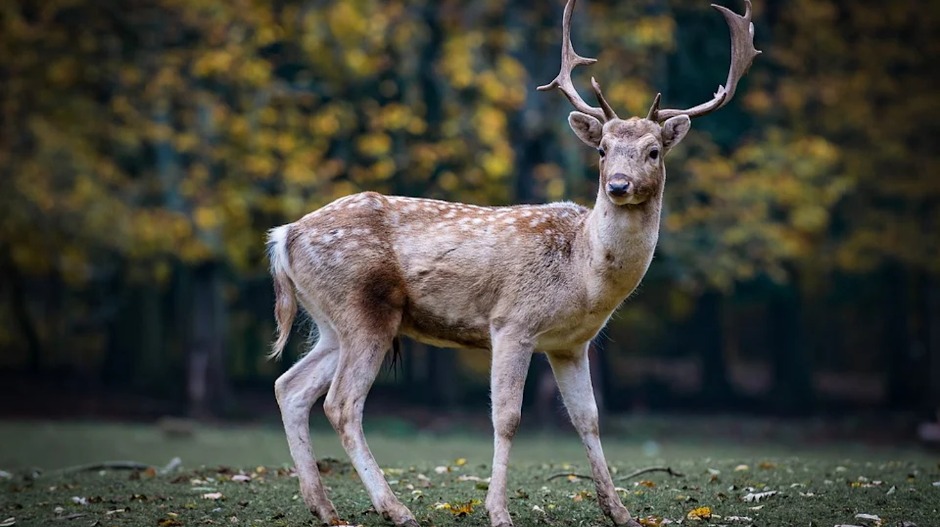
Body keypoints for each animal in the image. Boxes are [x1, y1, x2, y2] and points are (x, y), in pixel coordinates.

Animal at [268, 1, 760, 527]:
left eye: (653, 151)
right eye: (602, 150)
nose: (618, 185)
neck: (583, 275)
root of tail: (285, 235)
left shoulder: (571, 345)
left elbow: (588, 419)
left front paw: (620, 511)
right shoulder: (511, 323)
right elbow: (507, 418)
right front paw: (498, 511)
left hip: (331, 321)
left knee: (290, 386)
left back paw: (324, 507)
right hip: (364, 308)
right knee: (342, 403)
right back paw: (396, 509)